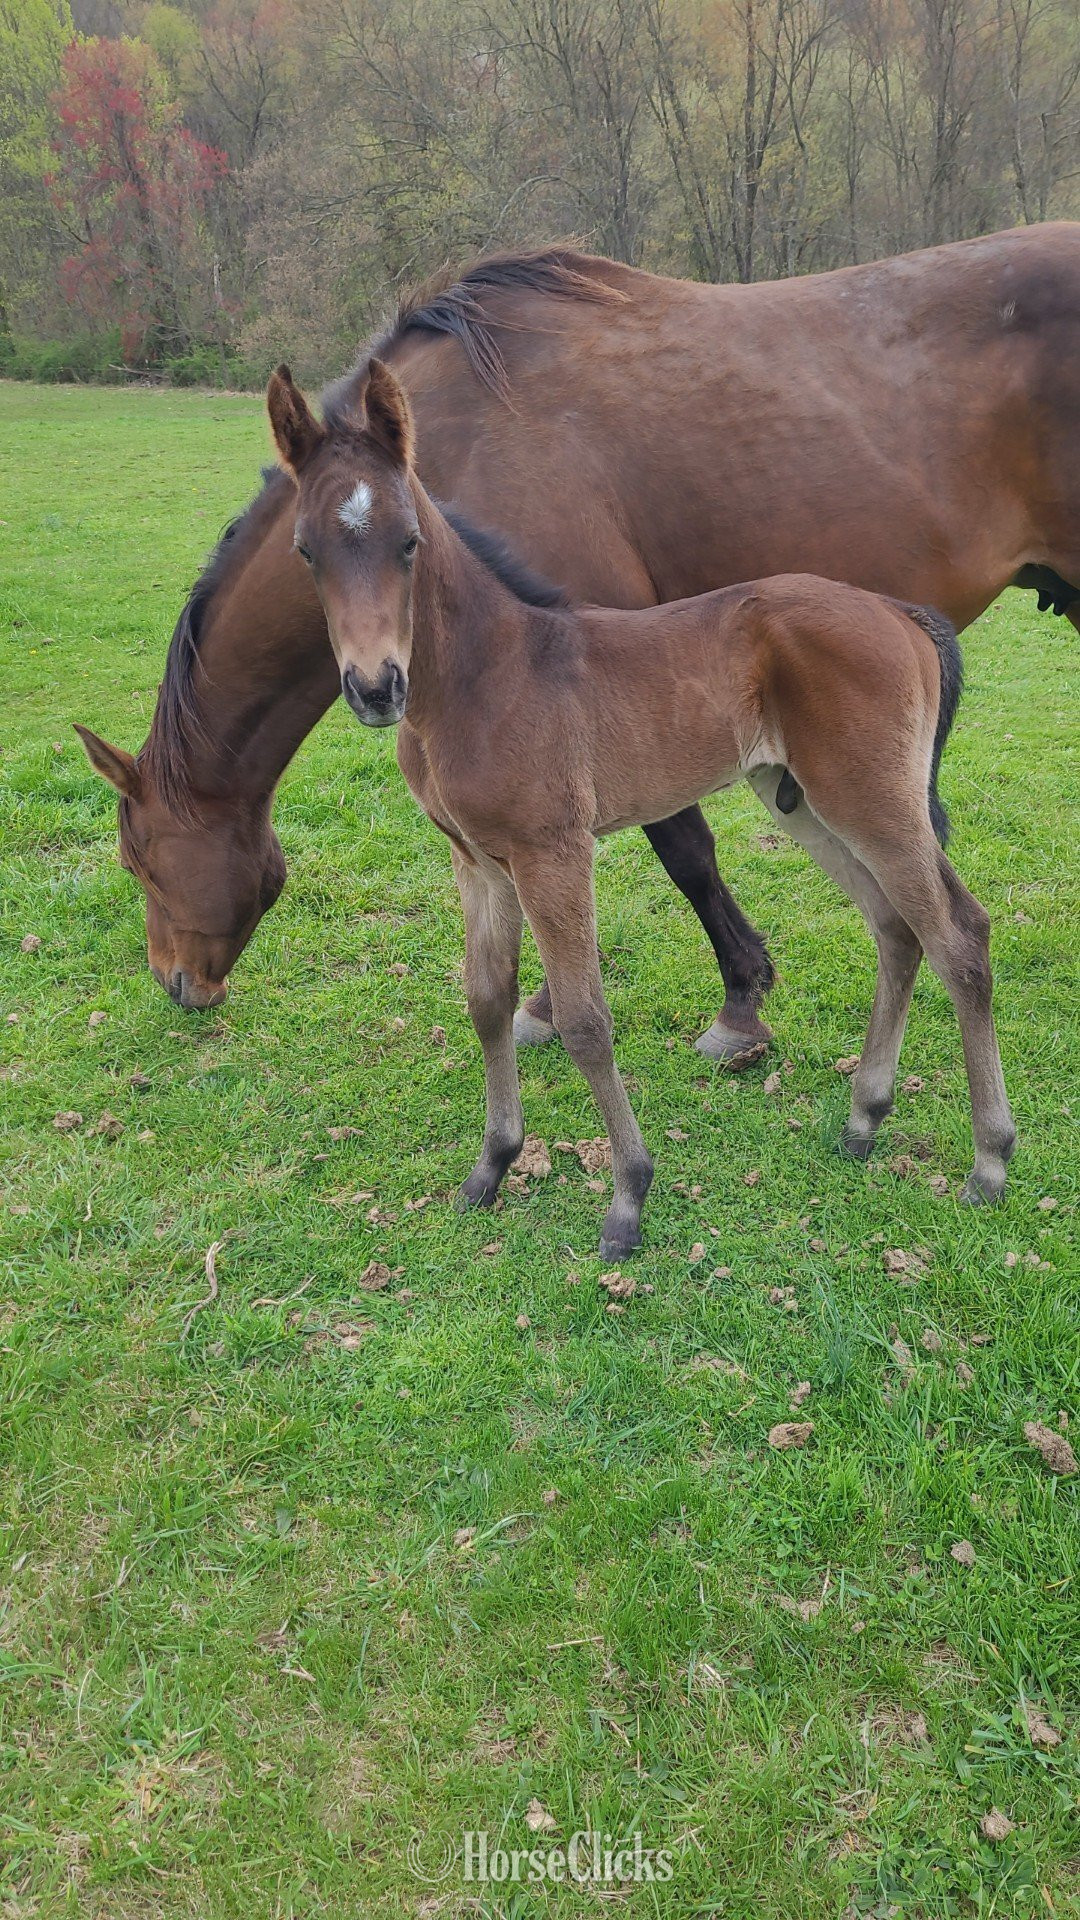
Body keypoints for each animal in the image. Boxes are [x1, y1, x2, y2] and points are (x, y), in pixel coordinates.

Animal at [77, 226, 1080, 1058]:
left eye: (138, 859)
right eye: (306, 551)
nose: (177, 984)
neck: (454, 439)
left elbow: (682, 847)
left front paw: (735, 1004)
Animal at [264, 357, 1016, 1257]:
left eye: (408, 541)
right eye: (306, 551)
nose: (376, 687)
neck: (484, 676)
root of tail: (896, 611)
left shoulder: (553, 850)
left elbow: (585, 1018)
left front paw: (628, 1197)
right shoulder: (477, 860)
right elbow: (486, 1000)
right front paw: (491, 1167)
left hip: (873, 799)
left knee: (958, 936)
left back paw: (989, 1162)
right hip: (805, 804)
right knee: (898, 930)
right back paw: (864, 1119)